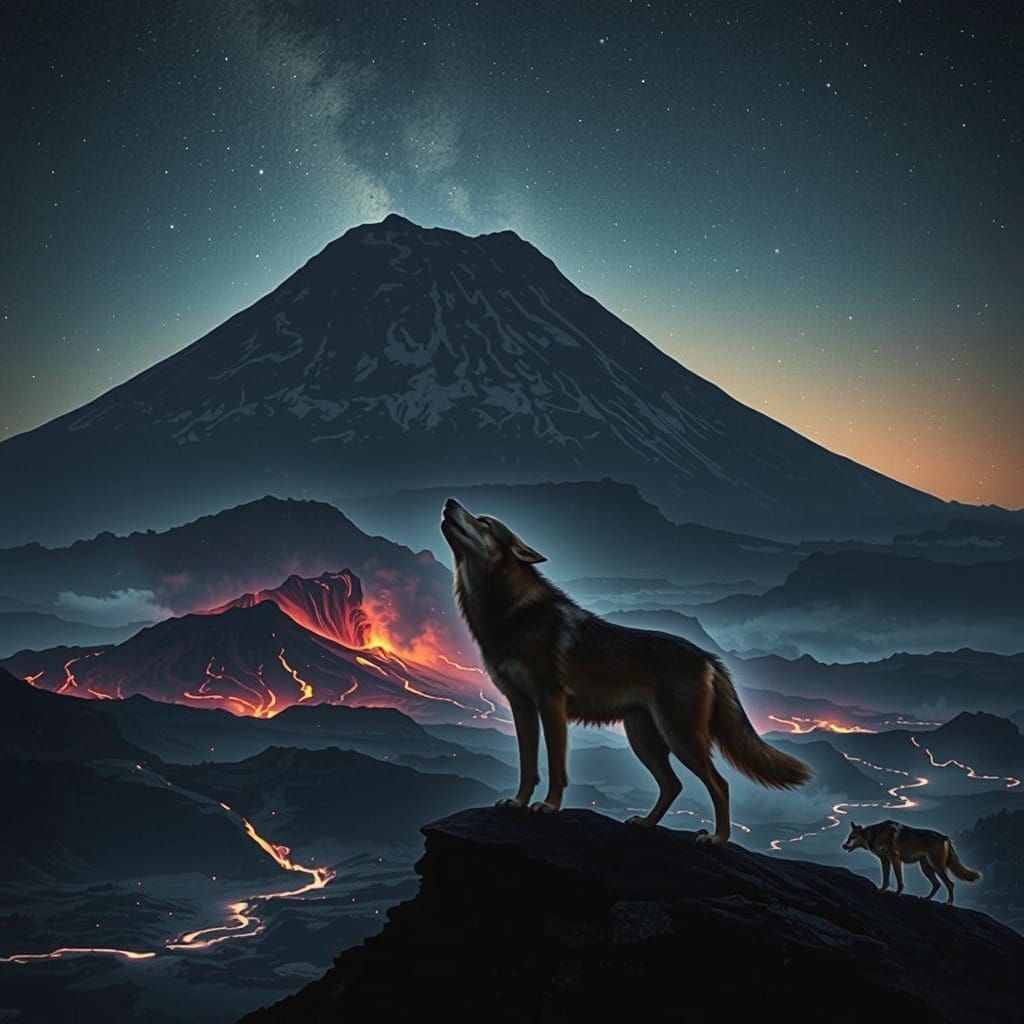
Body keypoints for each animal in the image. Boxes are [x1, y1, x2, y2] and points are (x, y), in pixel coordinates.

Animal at [440, 498, 811, 845]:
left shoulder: (551, 703)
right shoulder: (522, 706)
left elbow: (556, 767)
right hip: (643, 738)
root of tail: (709, 658)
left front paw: (549, 806)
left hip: (680, 737)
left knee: (719, 784)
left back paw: (717, 839)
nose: (450, 502)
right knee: (673, 785)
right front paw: (517, 802)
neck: (511, 614)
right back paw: (645, 824)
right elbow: (527, 766)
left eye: (483, 522)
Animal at [842, 820, 981, 904]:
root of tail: (945, 838)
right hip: (926, 868)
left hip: (936, 867)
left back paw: (949, 903)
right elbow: (886, 879)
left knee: (950, 883)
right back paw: (926, 899)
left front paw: (897, 893)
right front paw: (882, 890)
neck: (875, 834)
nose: (843, 846)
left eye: (852, 837)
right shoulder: (885, 860)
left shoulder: (895, 858)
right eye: (848, 837)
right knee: (937, 884)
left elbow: (899, 881)